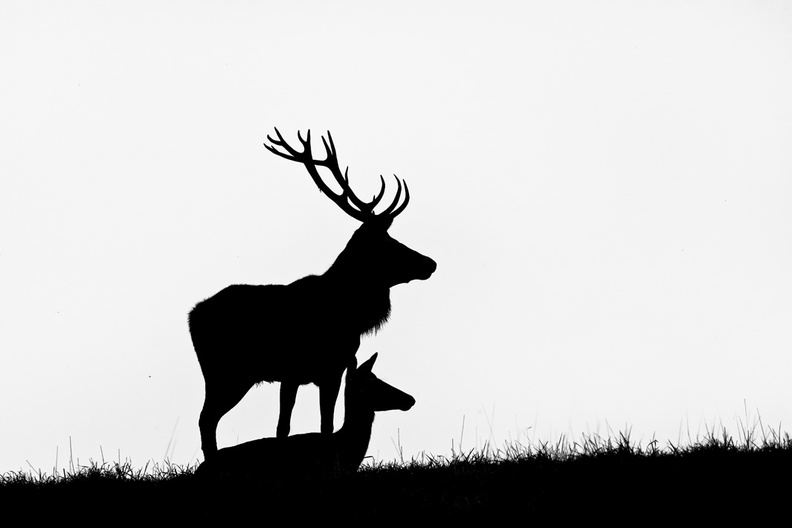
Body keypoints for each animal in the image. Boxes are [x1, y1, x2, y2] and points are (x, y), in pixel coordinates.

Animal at [188, 128, 436, 459]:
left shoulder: (330, 369)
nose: (430, 263)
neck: (351, 316)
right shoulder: (303, 370)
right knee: (206, 419)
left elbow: (309, 425)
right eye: (388, 243)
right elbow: (299, 427)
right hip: (227, 373)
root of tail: (192, 315)